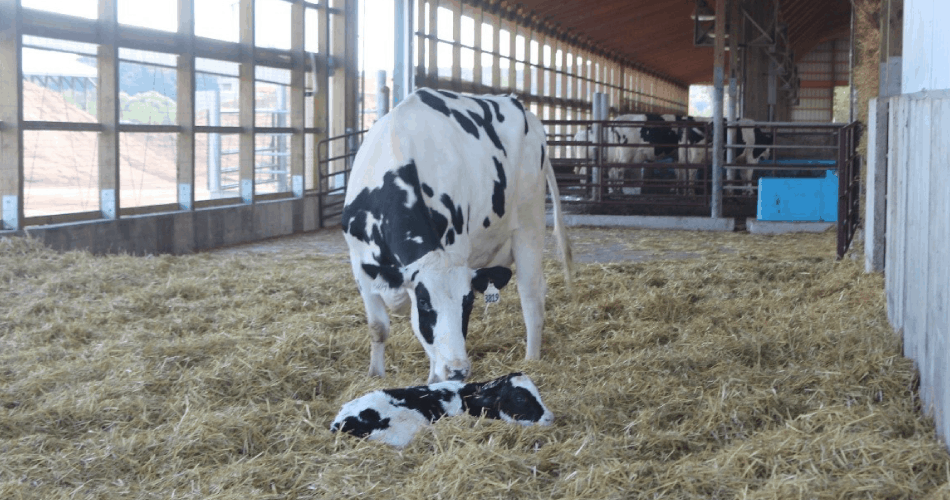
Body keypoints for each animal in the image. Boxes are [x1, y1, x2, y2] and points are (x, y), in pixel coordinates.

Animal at [346, 87, 576, 382]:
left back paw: (531, 359)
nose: (458, 370)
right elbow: (378, 327)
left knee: (531, 294)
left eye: (469, 303)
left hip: (529, 222)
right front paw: (375, 375)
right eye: (424, 302)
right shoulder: (360, 265)